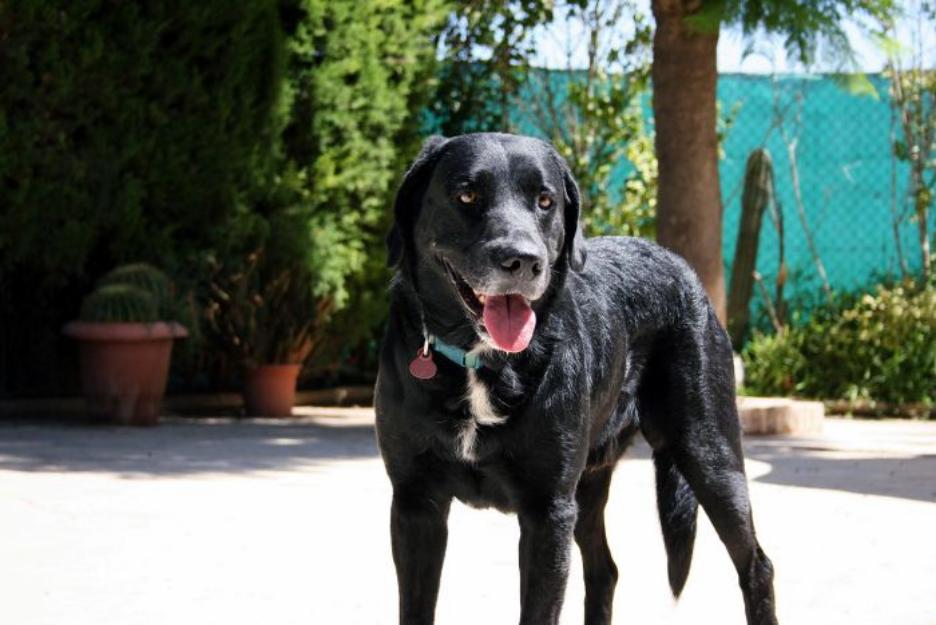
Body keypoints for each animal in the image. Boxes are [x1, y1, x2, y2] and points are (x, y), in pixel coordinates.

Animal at [372, 134, 776, 624]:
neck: (481, 362)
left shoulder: (549, 513)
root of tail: (678, 263)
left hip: (709, 453)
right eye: (467, 195)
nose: (524, 261)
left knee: (757, 565)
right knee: (605, 571)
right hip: (589, 486)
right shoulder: (415, 505)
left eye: (545, 201)